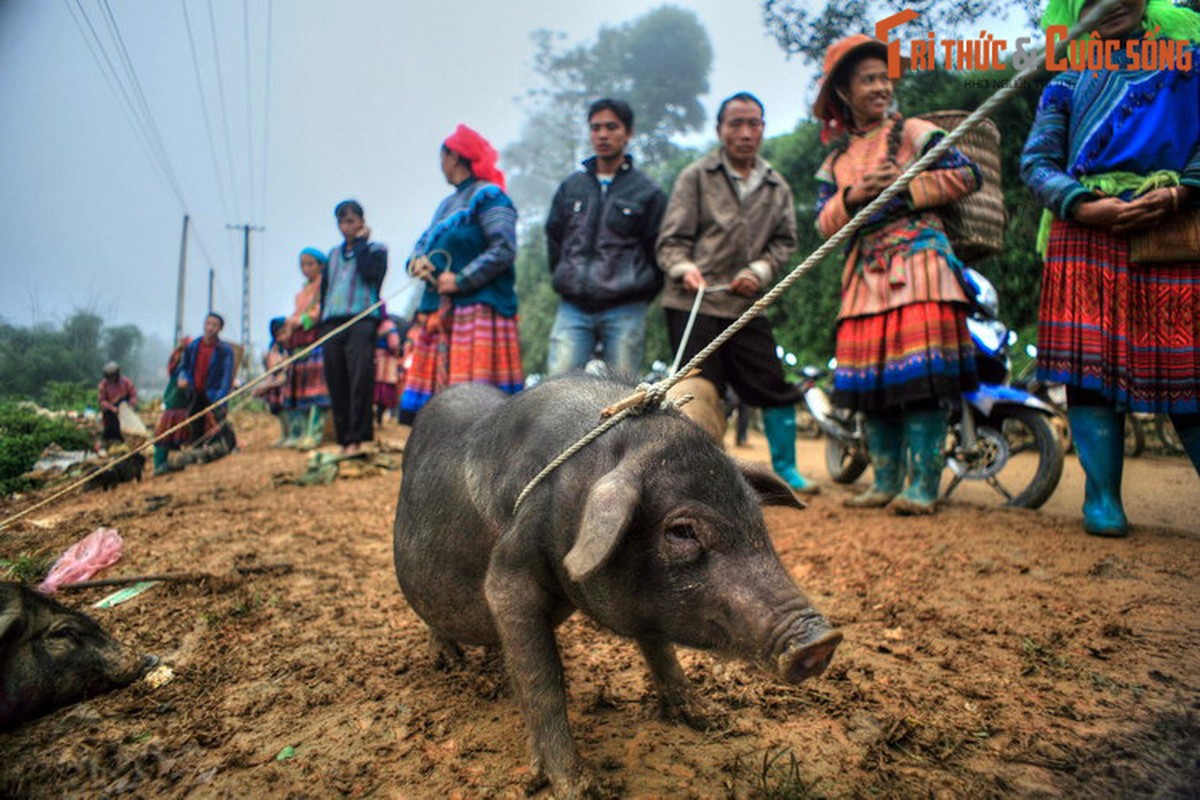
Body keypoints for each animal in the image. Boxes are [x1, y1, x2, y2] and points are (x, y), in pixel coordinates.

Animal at [393, 376, 844, 800]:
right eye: (682, 531)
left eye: (756, 518)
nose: (821, 641)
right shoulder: (509, 575)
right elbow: (542, 677)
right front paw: (579, 788)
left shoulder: (647, 604)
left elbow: (660, 649)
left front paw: (712, 717)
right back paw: (448, 662)